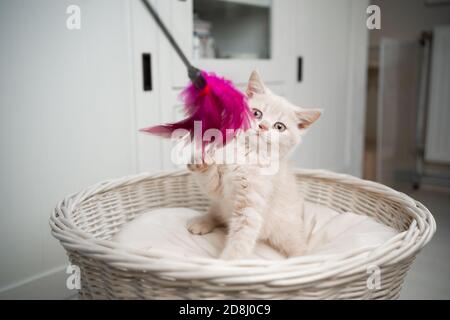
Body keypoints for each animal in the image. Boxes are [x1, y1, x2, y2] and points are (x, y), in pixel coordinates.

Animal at [186, 70, 320, 260]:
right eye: (257, 113)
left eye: (279, 127)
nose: (262, 126)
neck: (247, 153)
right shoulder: (219, 187)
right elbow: (211, 183)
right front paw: (202, 160)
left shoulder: (251, 203)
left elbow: (241, 238)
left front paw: (228, 261)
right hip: (221, 204)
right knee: (217, 213)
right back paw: (202, 221)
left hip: (287, 230)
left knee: (299, 246)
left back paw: (301, 259)